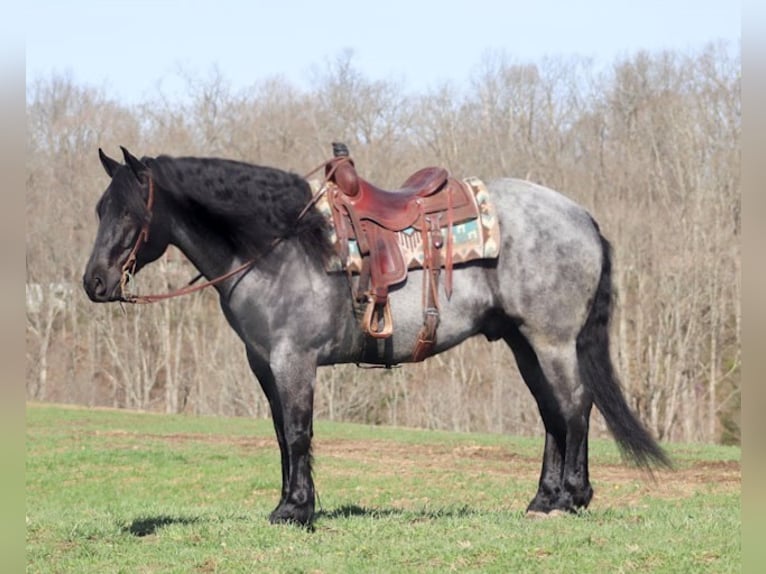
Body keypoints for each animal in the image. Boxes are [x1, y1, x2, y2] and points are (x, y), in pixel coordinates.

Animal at [82, 147, 672, 528]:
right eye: (99, 208)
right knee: (553, 414)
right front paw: (290, 504)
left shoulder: (293, 361)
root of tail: (582, 217)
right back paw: (544, 499)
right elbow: (282, 436)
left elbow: (298, 432)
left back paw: (572, 497)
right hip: (523, 343)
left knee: (574, 407)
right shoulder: (264, 364)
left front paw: (296, 510)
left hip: (551, 341)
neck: (280, 244)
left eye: (130, 211)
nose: (94, 283)